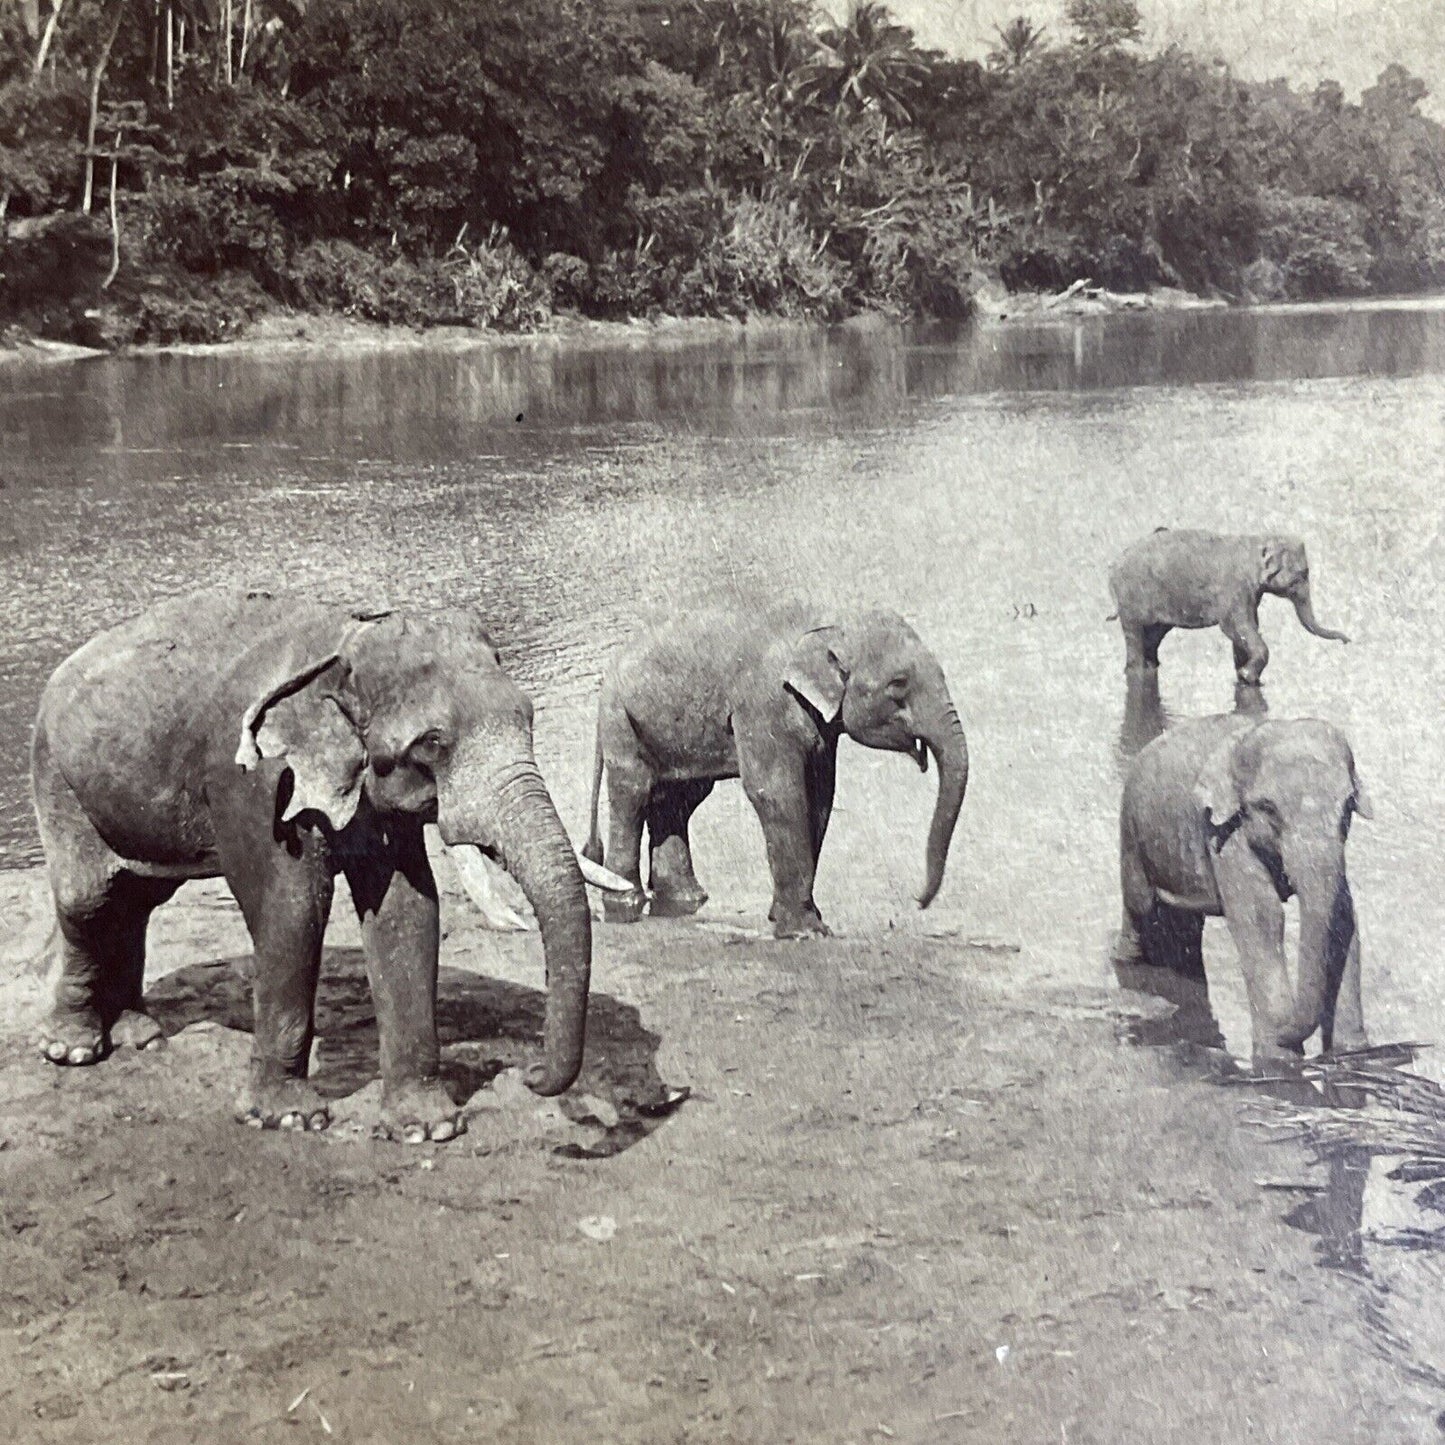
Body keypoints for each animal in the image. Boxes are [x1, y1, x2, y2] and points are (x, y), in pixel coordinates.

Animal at [31, 586, 630, 1138]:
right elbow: (293, 910)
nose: (530, 1074)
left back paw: (140, 1035)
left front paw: (425, 1127)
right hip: (56, 778)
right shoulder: (257, 781)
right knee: (87, 900)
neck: (344, 643)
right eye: (433, 743)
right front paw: (289, 1118)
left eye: (528, 717)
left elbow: (407, 912)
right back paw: (74, 1049)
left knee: (135, 900)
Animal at [578, 598, 971, 936]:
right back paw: (625, 904)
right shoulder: (762, 704)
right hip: (620, 719)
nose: (917, 900)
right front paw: (805, 932)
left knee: (677, 799)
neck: (827, 621)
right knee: (633, 791)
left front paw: (792, 918)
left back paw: (685, 900)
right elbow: (776, 792)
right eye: (898, 684)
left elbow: (820, 796)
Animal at [1103, 531, 1352, 687]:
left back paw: (1151, 667)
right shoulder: (1234, 588)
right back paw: (1137, 671)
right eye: (1302, 575)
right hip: (1131, 598)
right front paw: (1247, 676)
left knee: (1154, 635)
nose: (1347, 641)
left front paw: (1244, 677)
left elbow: (1246, 630)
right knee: (1135, 634)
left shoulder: (1250, 594)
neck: (1257, 540)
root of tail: (1113, 565)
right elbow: (1236, 627)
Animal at [1109, 710, 1369, 1063]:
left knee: (1185, 925)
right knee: (1140, 907)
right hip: (1132, 833)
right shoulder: (1223, 832)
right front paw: (1277, 1056)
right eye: (1268, 807)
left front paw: (1353, 1052)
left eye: (1349, 804)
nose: (1285, 1029)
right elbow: (1261, 915)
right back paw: (1127, 961)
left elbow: (1343, 916)